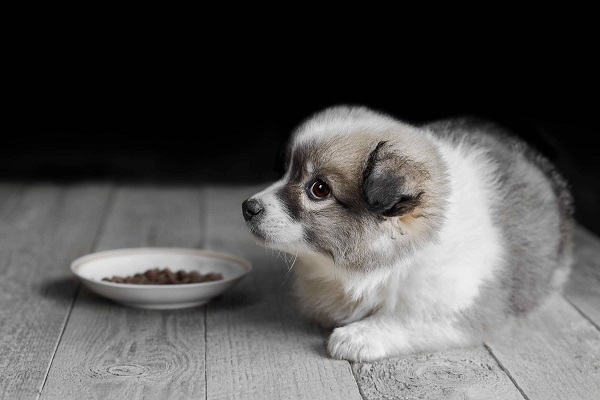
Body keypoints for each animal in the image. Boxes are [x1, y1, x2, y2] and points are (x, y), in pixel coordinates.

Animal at [241, 106, 576, 362]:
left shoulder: (458, 307)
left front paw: (357, 337)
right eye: (285, 171)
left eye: (319, 189)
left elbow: (404, 319)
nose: (247, 207)